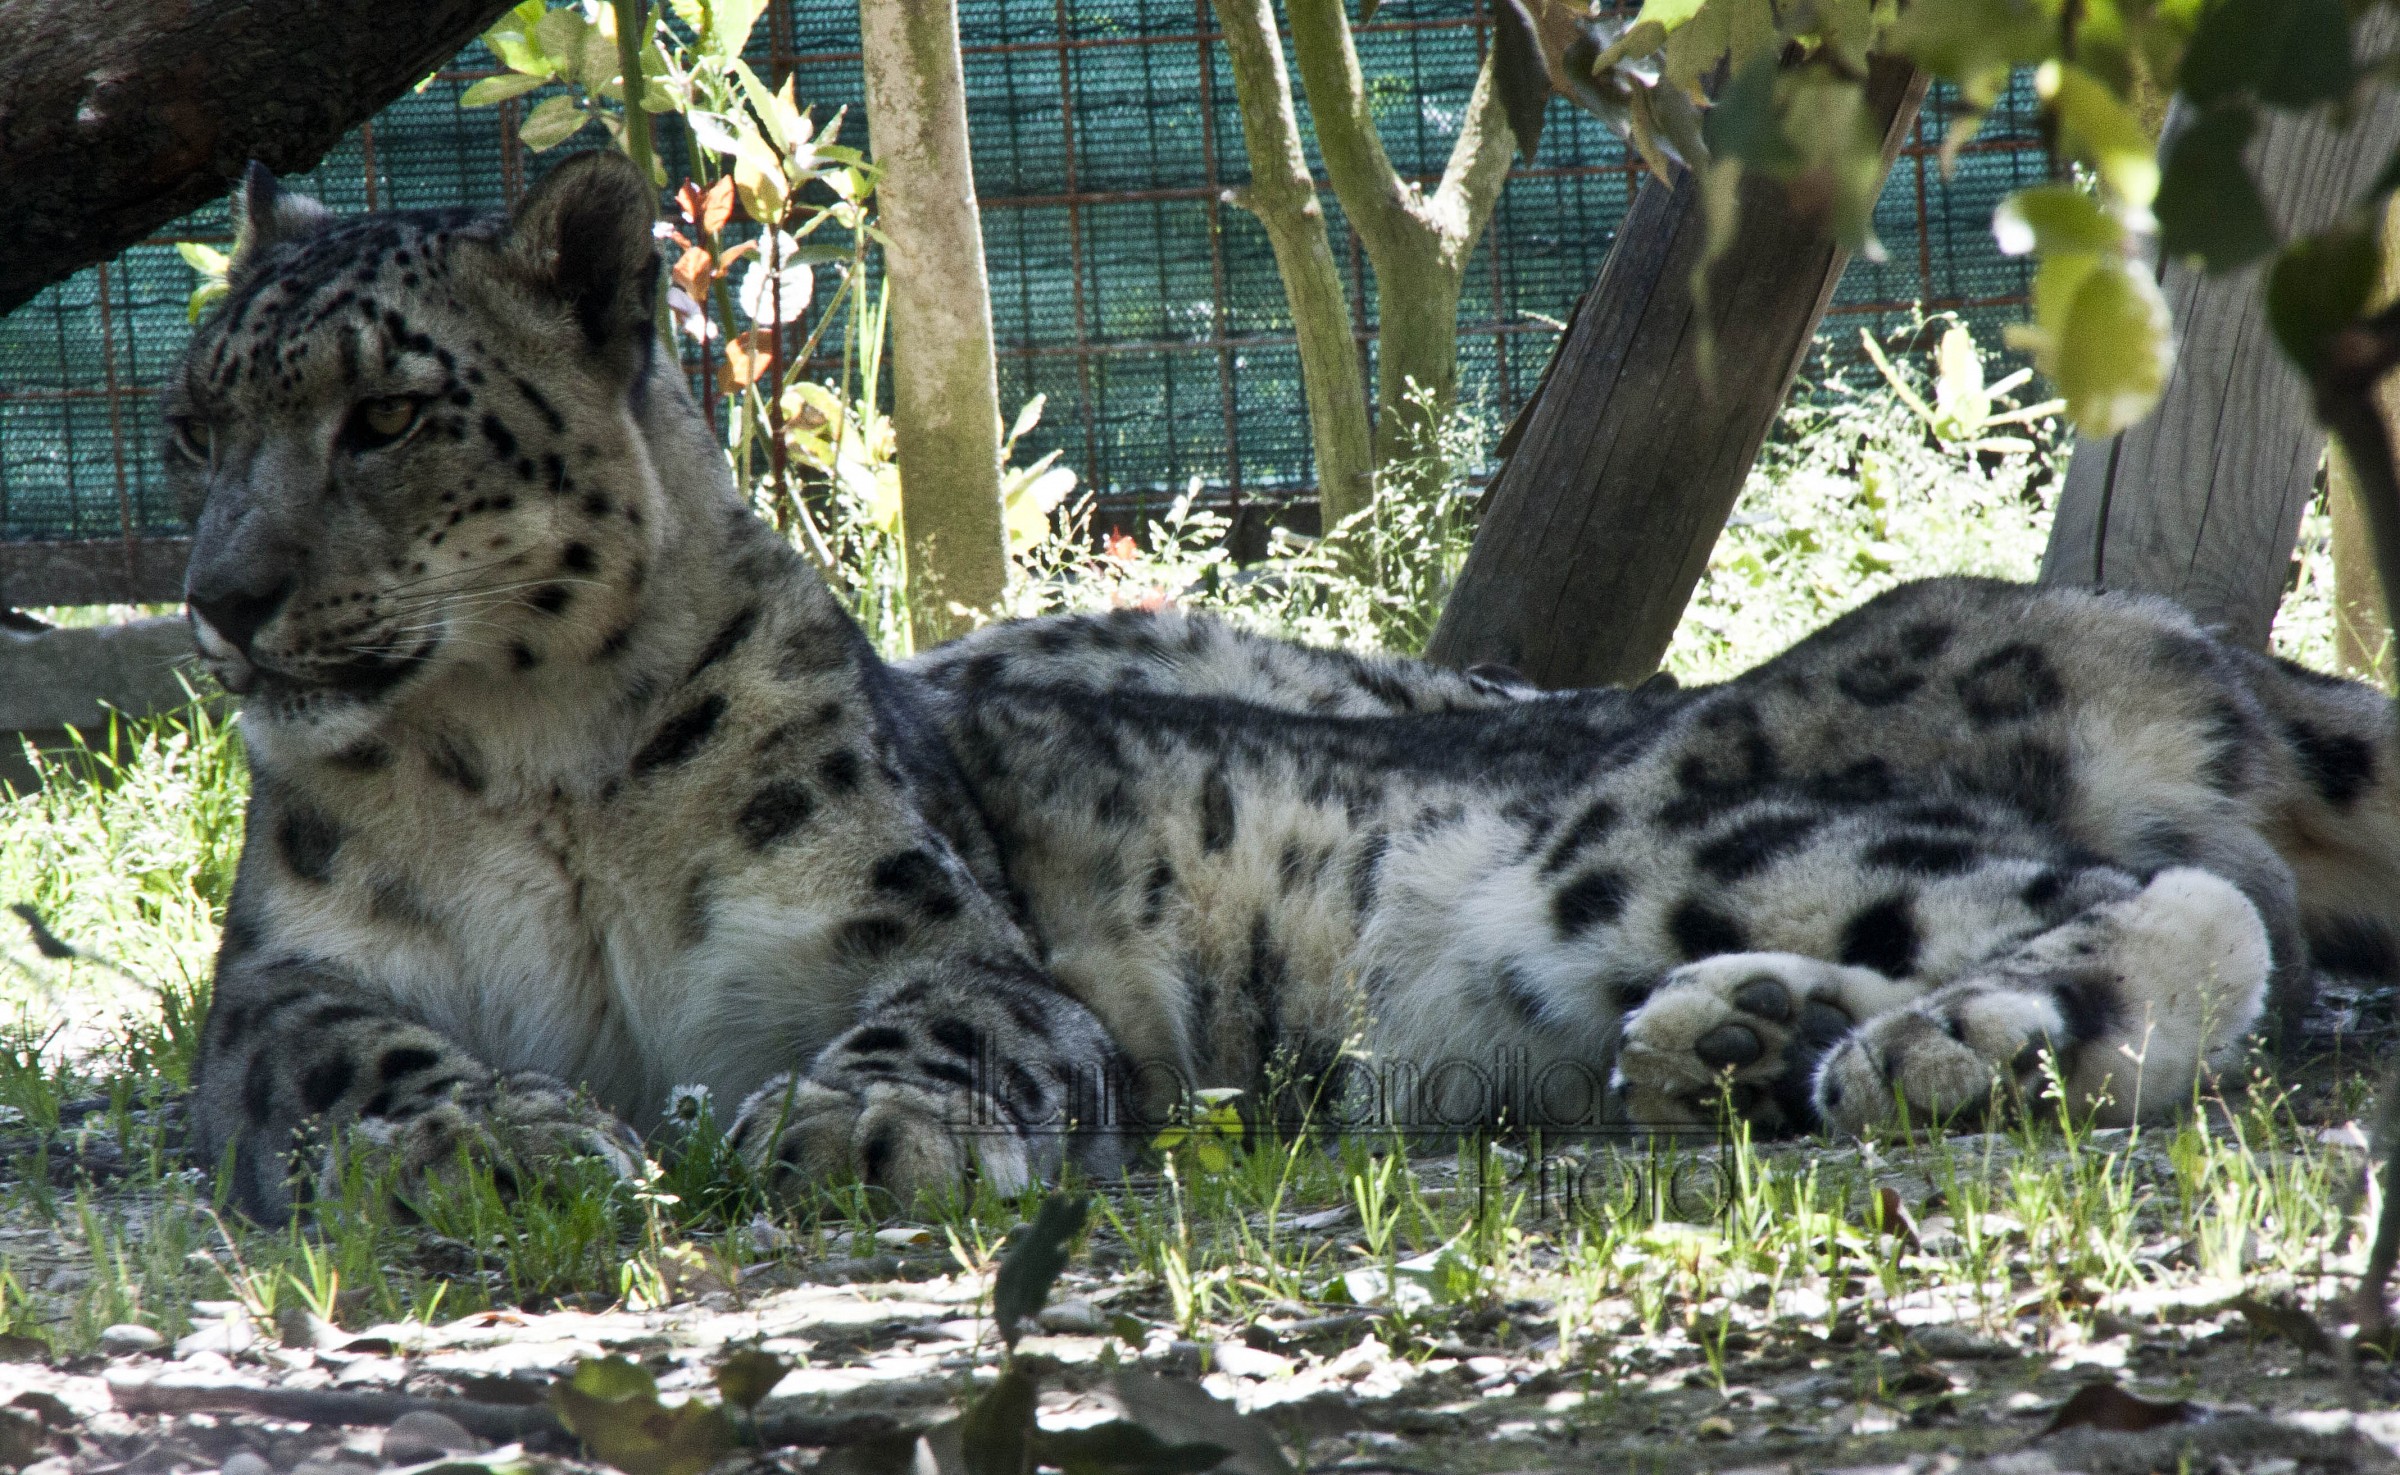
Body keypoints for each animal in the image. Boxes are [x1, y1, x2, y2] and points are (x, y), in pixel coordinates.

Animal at [171, 151, 2400, 1222]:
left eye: (387, 416)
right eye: (198, 424)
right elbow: (349, 1055)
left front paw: (854, 1128)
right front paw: (490, 1145)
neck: (533, 768)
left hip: (1647, 837)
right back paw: (1746, 1037)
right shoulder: (287, 978)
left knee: (2192, 909)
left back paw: (1944, 1044)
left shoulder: (927, 942)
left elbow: (940, 1027)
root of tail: (2159, 633)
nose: (218, 598)